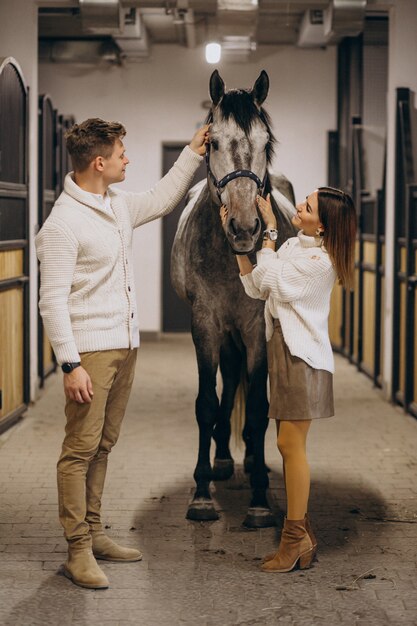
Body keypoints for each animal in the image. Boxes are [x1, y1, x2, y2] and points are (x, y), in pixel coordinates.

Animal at [171, 69, 296, 528]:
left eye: (265, 142)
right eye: (214, 142)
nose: (244, 227)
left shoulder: (256, 327)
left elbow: (258, 405)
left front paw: (259, 498)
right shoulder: (205, 323)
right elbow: (208, 402)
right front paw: (202, 494)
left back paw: (252, 462)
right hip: (224, 333)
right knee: (227, 379)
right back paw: (224, 458)